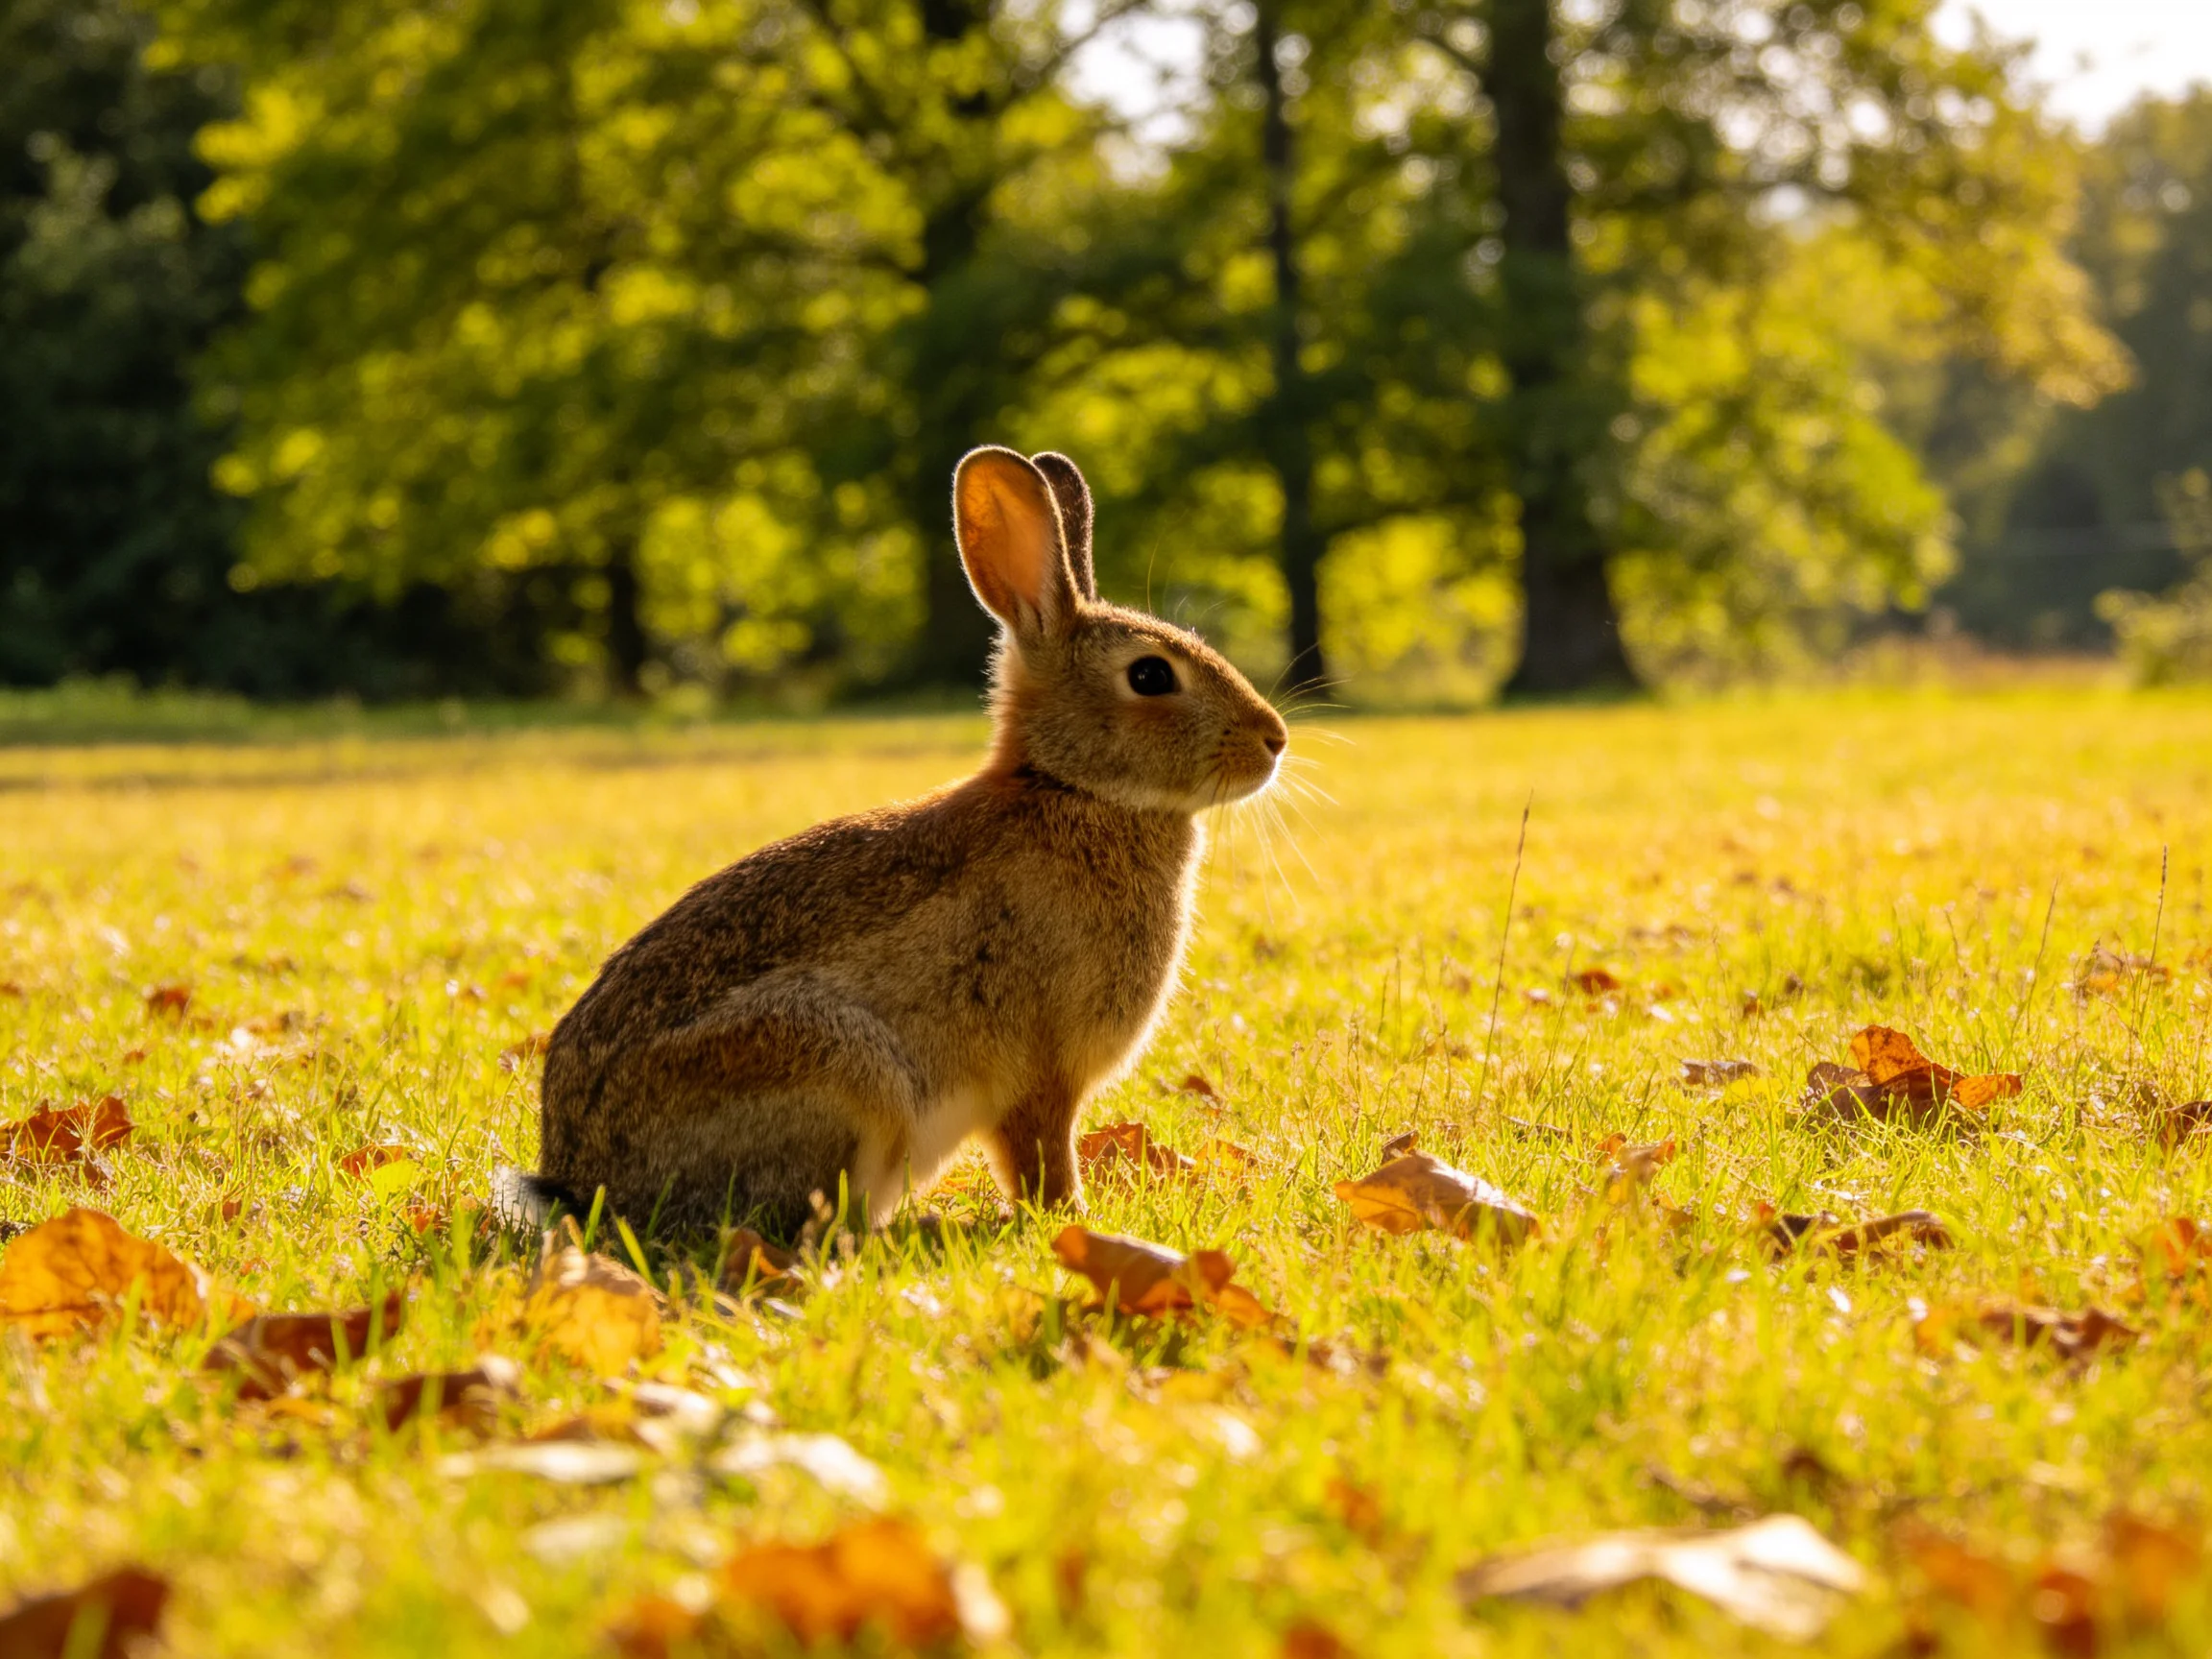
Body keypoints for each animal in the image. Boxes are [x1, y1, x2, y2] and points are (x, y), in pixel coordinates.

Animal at [523, 446, 1288, 1238]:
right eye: (1149, 675)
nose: (1274, 740)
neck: (1070, 787)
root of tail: (584, 1184)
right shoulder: (1040, 1073)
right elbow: (1042, 1155)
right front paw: (1073, 1219)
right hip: (839, 1070)